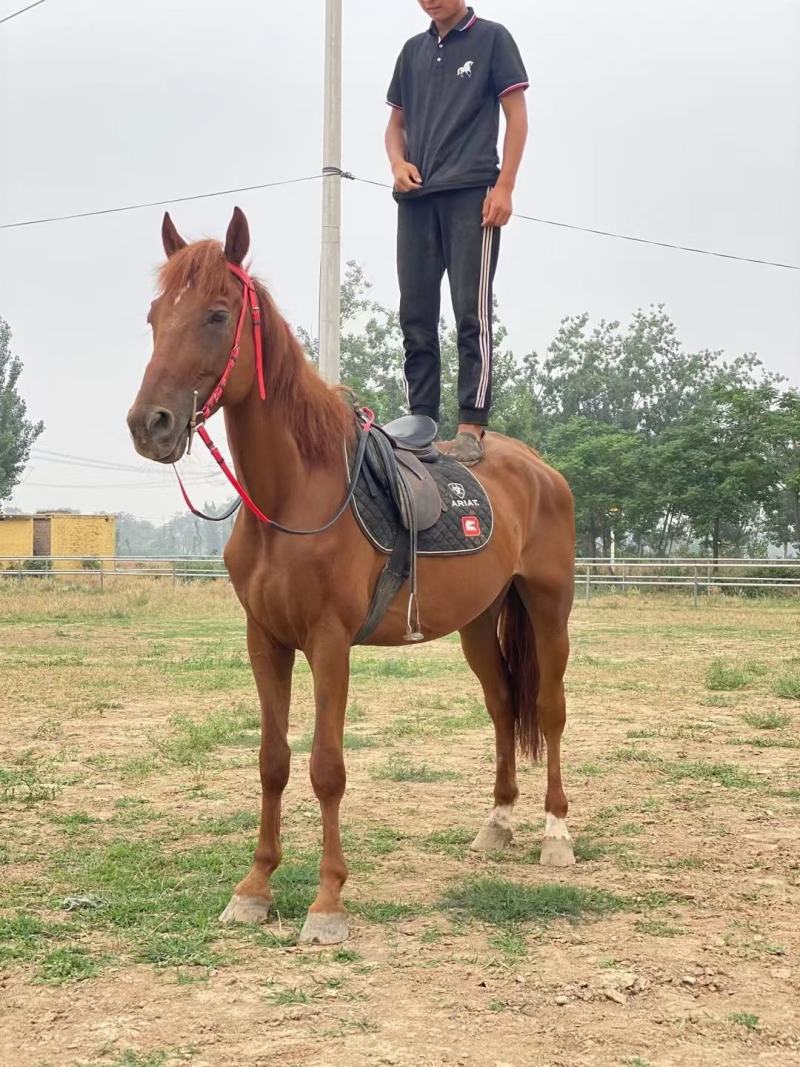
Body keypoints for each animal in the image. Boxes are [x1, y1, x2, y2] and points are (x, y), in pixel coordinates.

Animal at [127, 207, 576, 945]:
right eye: (155, 315)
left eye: (218, 315)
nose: (150, 424)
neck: (292, 497)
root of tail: (538, 468)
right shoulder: (266, 642)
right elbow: (273, 761)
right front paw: (254, 888)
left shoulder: (330, 642)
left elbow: (326, 768)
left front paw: (328, 901)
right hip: (479, 623)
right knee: (502, 709)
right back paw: (497, 824)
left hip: (548, 608)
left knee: (548, 708)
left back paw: (555, 834)